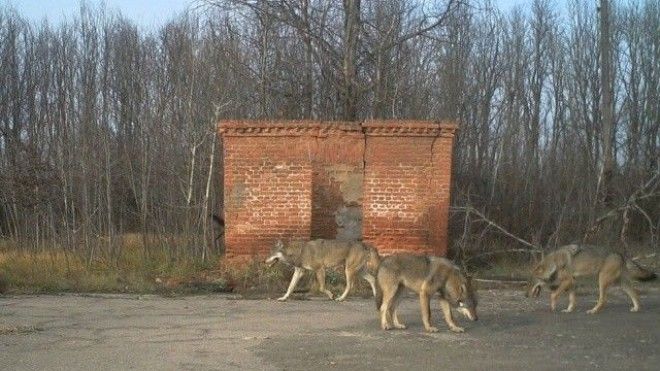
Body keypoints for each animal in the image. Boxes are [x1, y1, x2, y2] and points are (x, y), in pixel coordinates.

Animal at [524, 246, 656, 316]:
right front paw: (568, 310)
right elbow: (571, 300)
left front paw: (552, 307)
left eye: (530, 283)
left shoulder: (567, 281)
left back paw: (593, 311)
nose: (525, 295)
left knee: (603, 299)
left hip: (602, 280)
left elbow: (553, 294)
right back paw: (636, 308)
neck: (554, 264)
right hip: (622, 284)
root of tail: (620, 253)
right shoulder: (572, 283)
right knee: (635, 294)